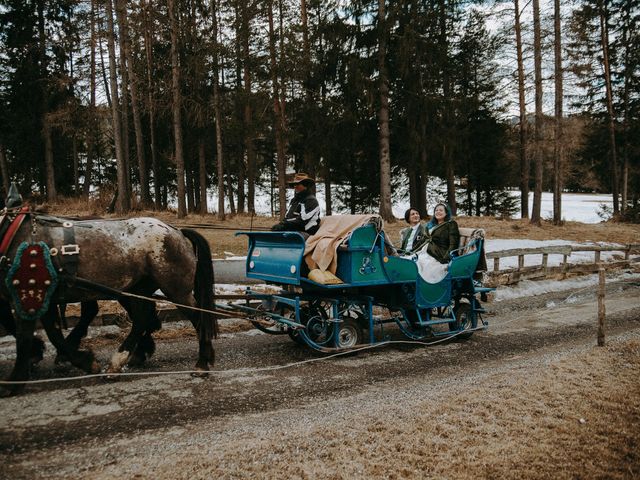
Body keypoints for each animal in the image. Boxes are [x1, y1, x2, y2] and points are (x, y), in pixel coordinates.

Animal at [0, 210, 216, 394]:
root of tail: (176, 231)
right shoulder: (41, 298)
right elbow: (52, 334)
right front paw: (82, 360)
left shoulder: (27, 295)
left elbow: (24, 337)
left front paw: (13, 381)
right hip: (138, 289)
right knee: (141, 318)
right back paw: (121, 361)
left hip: (175, 289)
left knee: (199, 318)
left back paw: (202, 363)